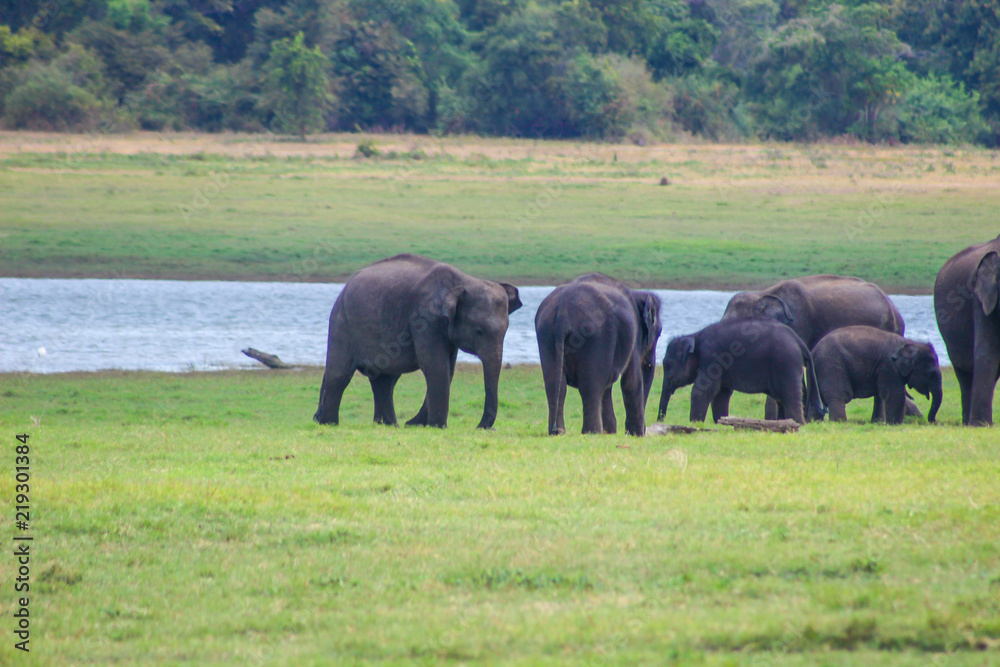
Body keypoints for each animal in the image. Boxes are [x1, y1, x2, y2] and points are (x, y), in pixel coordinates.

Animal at [314, 253, 524, 430]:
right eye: (479, 331)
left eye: (506, 331)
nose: (481, 427)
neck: (464, 281)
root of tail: (345, 286)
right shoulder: (425, 317)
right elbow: (435, 365)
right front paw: (437, 427)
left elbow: (448, 368)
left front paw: (420, 424)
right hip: (341, 323)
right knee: (340, 374)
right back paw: (330, 424)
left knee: (385, 381)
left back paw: (389, 425)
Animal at [536, 272, 660, 436]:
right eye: (659, 333)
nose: (645, 429)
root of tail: (563, 313)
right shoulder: (633, 336)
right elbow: (631, 381)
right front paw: (636, 435)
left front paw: (612, 432)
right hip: (595, 336)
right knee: (591, 385)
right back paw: (592, 432)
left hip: (546, 334)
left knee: (556, 385)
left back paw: (559, 432)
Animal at [808, 326, 940, 426]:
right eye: (931, 374)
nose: (933, 422)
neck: (910, 343)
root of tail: (813, 351)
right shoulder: (889, 367)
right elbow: (895, 394)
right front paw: (894, 425)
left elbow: (881, 395)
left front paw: (879, 423)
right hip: (831, 365)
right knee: (839, 396)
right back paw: (839, 423)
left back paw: (815, 423)